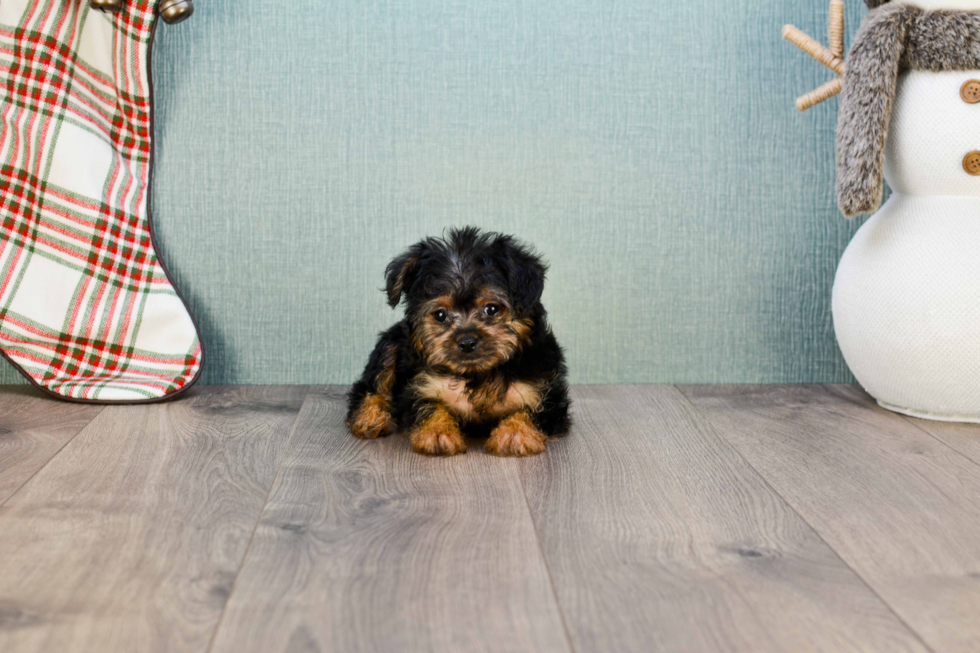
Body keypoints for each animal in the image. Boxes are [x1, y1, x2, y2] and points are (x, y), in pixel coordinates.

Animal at [348, 227, 572, 456]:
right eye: (440, 315)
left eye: (491, 309)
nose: (466, 342)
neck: (477, 374)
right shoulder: (419, 385)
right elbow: (427, 405)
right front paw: (438, 432)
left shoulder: (546, 391)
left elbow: (534, 410)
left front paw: (514, 433)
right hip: (391, 343)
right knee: (371, 385)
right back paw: (369, 417)